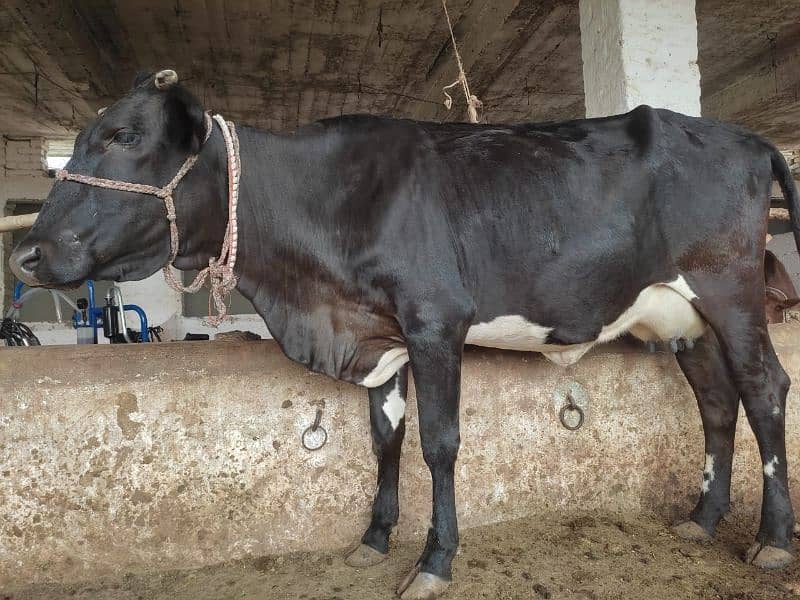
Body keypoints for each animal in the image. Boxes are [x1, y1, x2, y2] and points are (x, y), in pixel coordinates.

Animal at [7, 71, 800, 600]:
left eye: (126, 137)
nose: (28, 254)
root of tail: (748, 139)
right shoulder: (377, 332)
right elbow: (384, 435)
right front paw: (374, 537)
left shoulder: (434, 321)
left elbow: (437, 444)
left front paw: (433, 562)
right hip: (686, 319)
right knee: (716, 402)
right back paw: (701, 519)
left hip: (730, 293)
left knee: (764, 390)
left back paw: (771, 539)